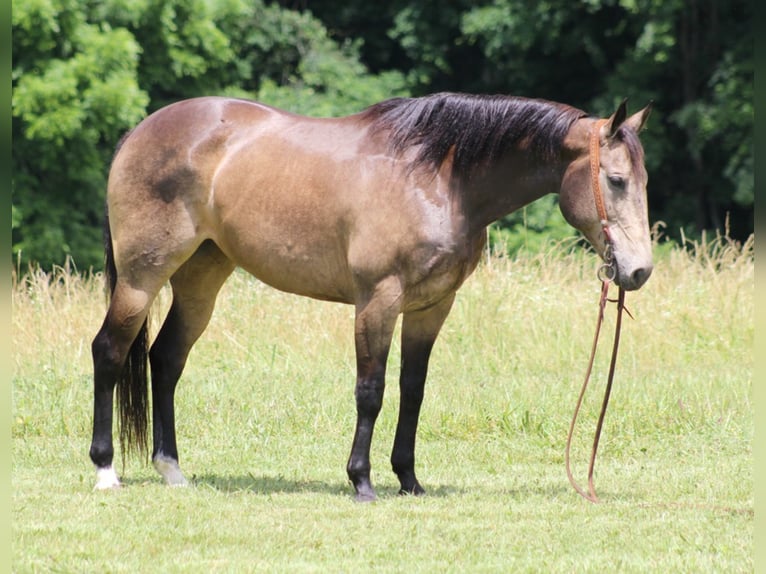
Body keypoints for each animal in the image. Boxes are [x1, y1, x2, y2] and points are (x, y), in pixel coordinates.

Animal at [90, 92, 656, 502]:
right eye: (616, 180)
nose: (638, 270)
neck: (439, 180)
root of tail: (138, 132)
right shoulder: (378, 301)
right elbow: (371, 390)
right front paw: (361, 480)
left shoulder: (431, 307)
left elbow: (412, 389)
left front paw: (408, 480)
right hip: (142, 277)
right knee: (110, 352)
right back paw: (105, 470)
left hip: (202, 278)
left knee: (165, 360)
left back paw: (172, 471)